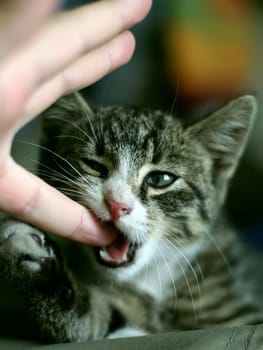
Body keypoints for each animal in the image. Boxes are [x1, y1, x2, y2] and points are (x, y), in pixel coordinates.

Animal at [0, 92, 263, 342]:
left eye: (161, 179)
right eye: (94, 166)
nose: (117, 205)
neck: (147, 276)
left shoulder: (240, 312)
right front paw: (33, 263)